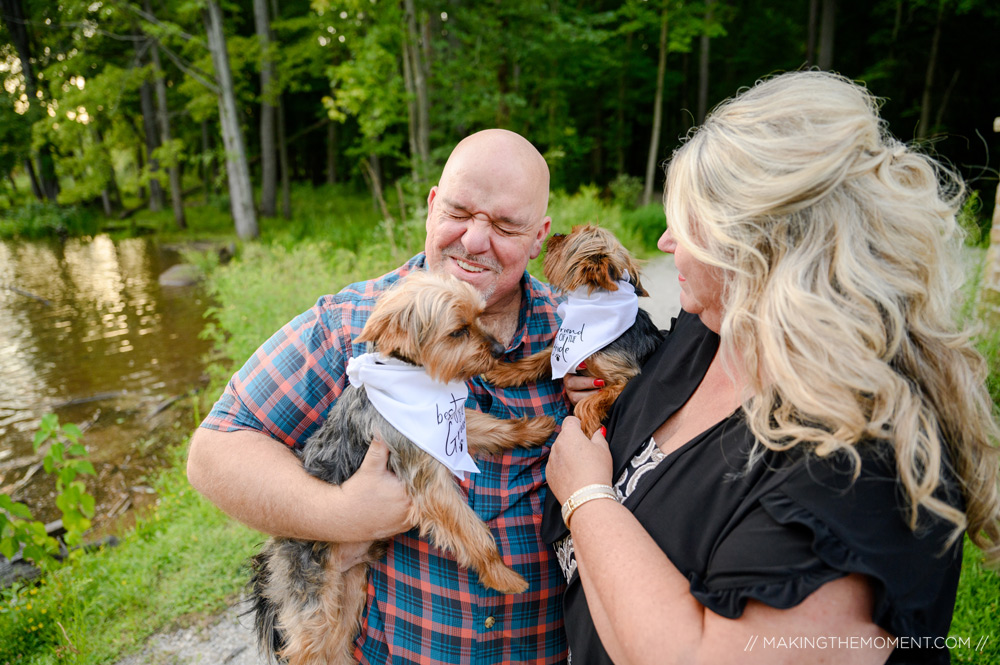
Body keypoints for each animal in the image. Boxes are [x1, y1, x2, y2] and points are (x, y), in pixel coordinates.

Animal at [243, 270, 556, 664]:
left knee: (338, 645)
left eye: (481, 316)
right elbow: (473, 532)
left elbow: (488, 424)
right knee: (307, 649)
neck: (411, 376)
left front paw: (533, 428)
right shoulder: (428, 483)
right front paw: (501, 575)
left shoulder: (455, 430)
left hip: (348, 591)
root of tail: (274, 551)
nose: (499, 351)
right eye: (458, 331)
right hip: (314, 600)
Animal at [486, 226, 664, 438]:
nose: (556, 234)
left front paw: (586, 430)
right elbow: (536, 360)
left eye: (569, 238)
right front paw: (503, 372)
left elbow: (589, 403)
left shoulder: (624, 378)